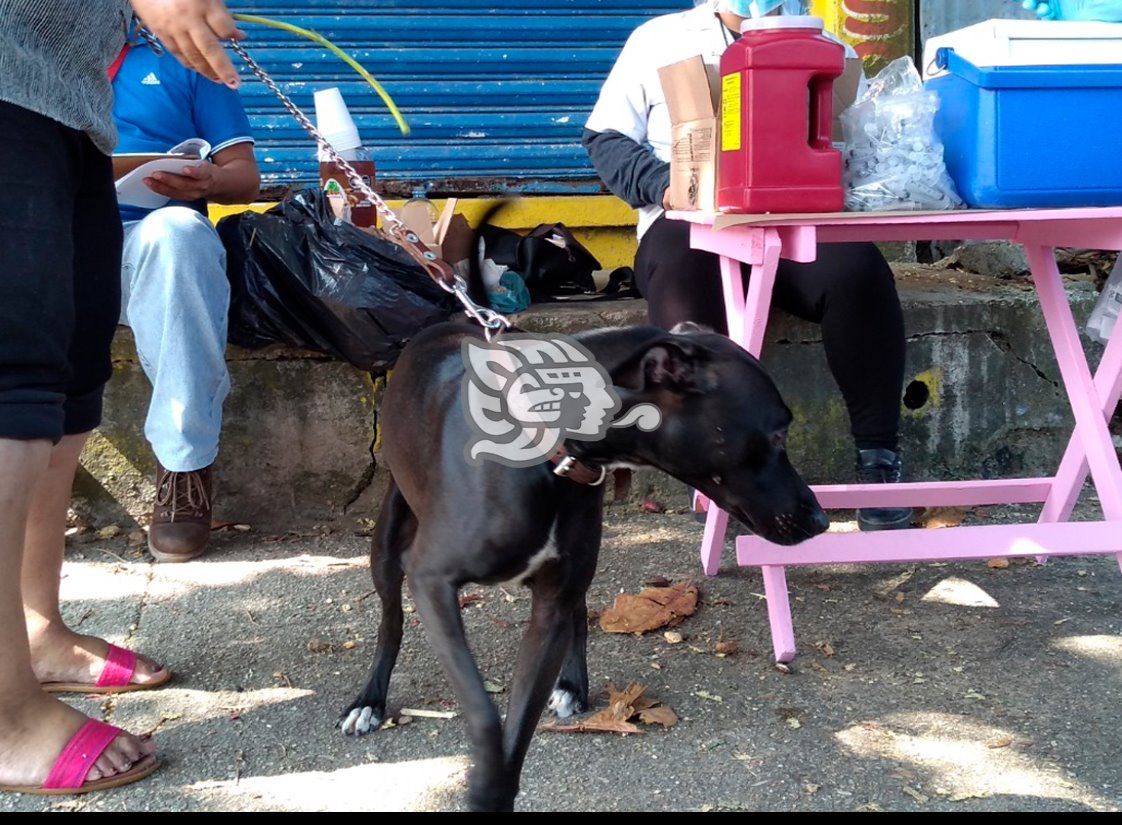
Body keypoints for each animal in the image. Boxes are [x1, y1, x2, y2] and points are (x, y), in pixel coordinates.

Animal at [336, 318, 830, 808]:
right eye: (779, 434)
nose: (822, 520)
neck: (547, 446)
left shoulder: (552, 602)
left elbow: (520, 723)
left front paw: (499, 787)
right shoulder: (432, 581)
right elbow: (483, 712)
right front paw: (483, 785)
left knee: (578, 613)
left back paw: (572, 685)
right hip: (388, 545)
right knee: (391, 620)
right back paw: (369, 702)